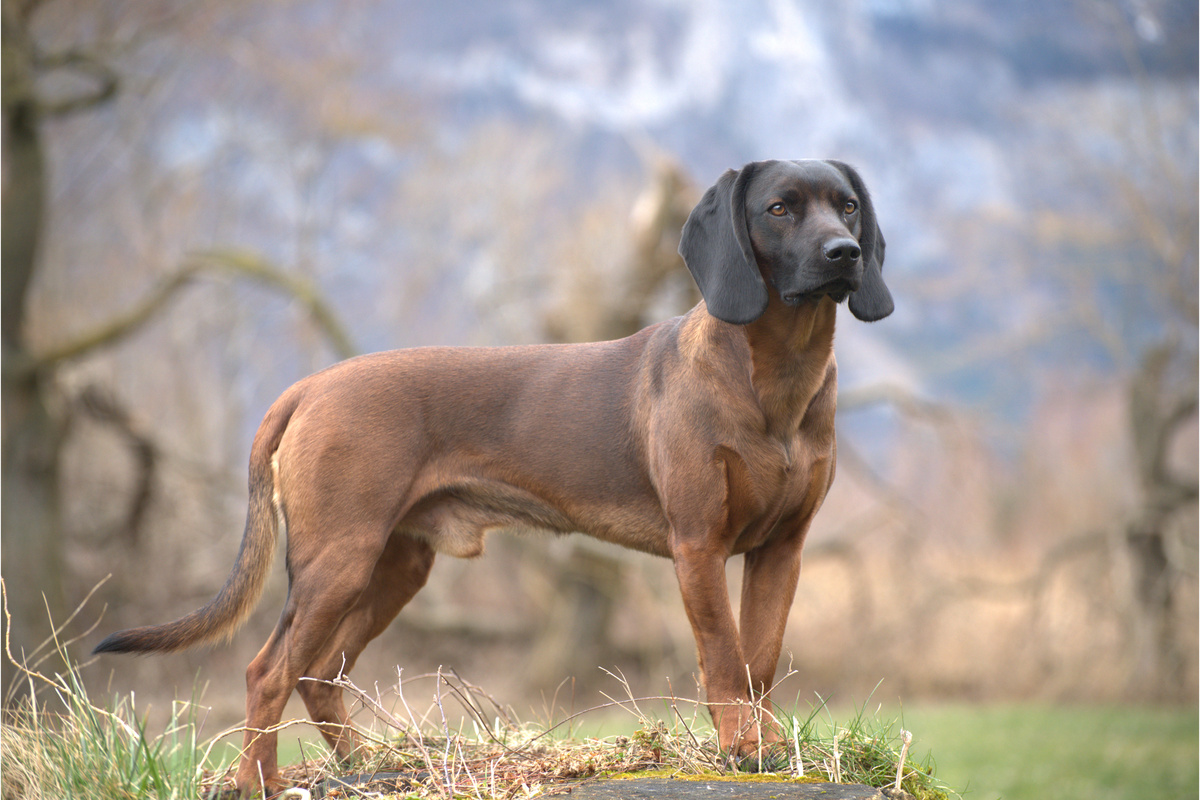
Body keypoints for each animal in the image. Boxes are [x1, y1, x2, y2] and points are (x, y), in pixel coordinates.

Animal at [96, 158, 892, 796]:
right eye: (779, 208)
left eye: (848, 205)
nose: (845, 252)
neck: (774, 378)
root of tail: (310, 386)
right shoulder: (698, 546)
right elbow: (725, 659)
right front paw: (738, 749)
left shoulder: (781, 550)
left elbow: (760, 662)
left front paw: (764, 748)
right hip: (338, 560)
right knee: (268, 672)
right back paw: (258, 782)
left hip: (394, 567)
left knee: (318, 674)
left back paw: (362, 767)